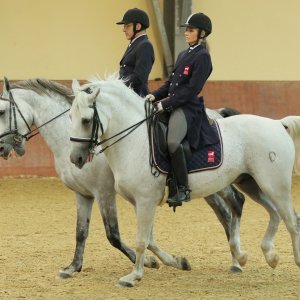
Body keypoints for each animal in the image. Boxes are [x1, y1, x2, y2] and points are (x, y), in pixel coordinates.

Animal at [0, 78, 251, 276]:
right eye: (70, 115)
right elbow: (81, 232)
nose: (2, 148)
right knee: (224, 213)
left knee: (233, 205)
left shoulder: (105, 192)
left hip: (216, 181)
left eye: (2, 112)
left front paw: (151, 262)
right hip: (205, 185)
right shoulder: (83, 194)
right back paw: (235, 259)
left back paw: (237, 260)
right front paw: (73, 267)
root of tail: (216, 113)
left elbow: (114, 235)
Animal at [68, 76, 300, 288]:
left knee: (290, 219)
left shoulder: (145, 201)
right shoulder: (140, 202)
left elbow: (142, 241)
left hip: (274, 185)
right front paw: (177, 262)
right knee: (273, 213)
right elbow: (149, 240)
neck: (134, 141)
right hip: (251, 183)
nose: (75, 158)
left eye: (86, 120)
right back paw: (264, 256)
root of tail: (278, 124)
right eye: (70, 116)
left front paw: (133, 277)